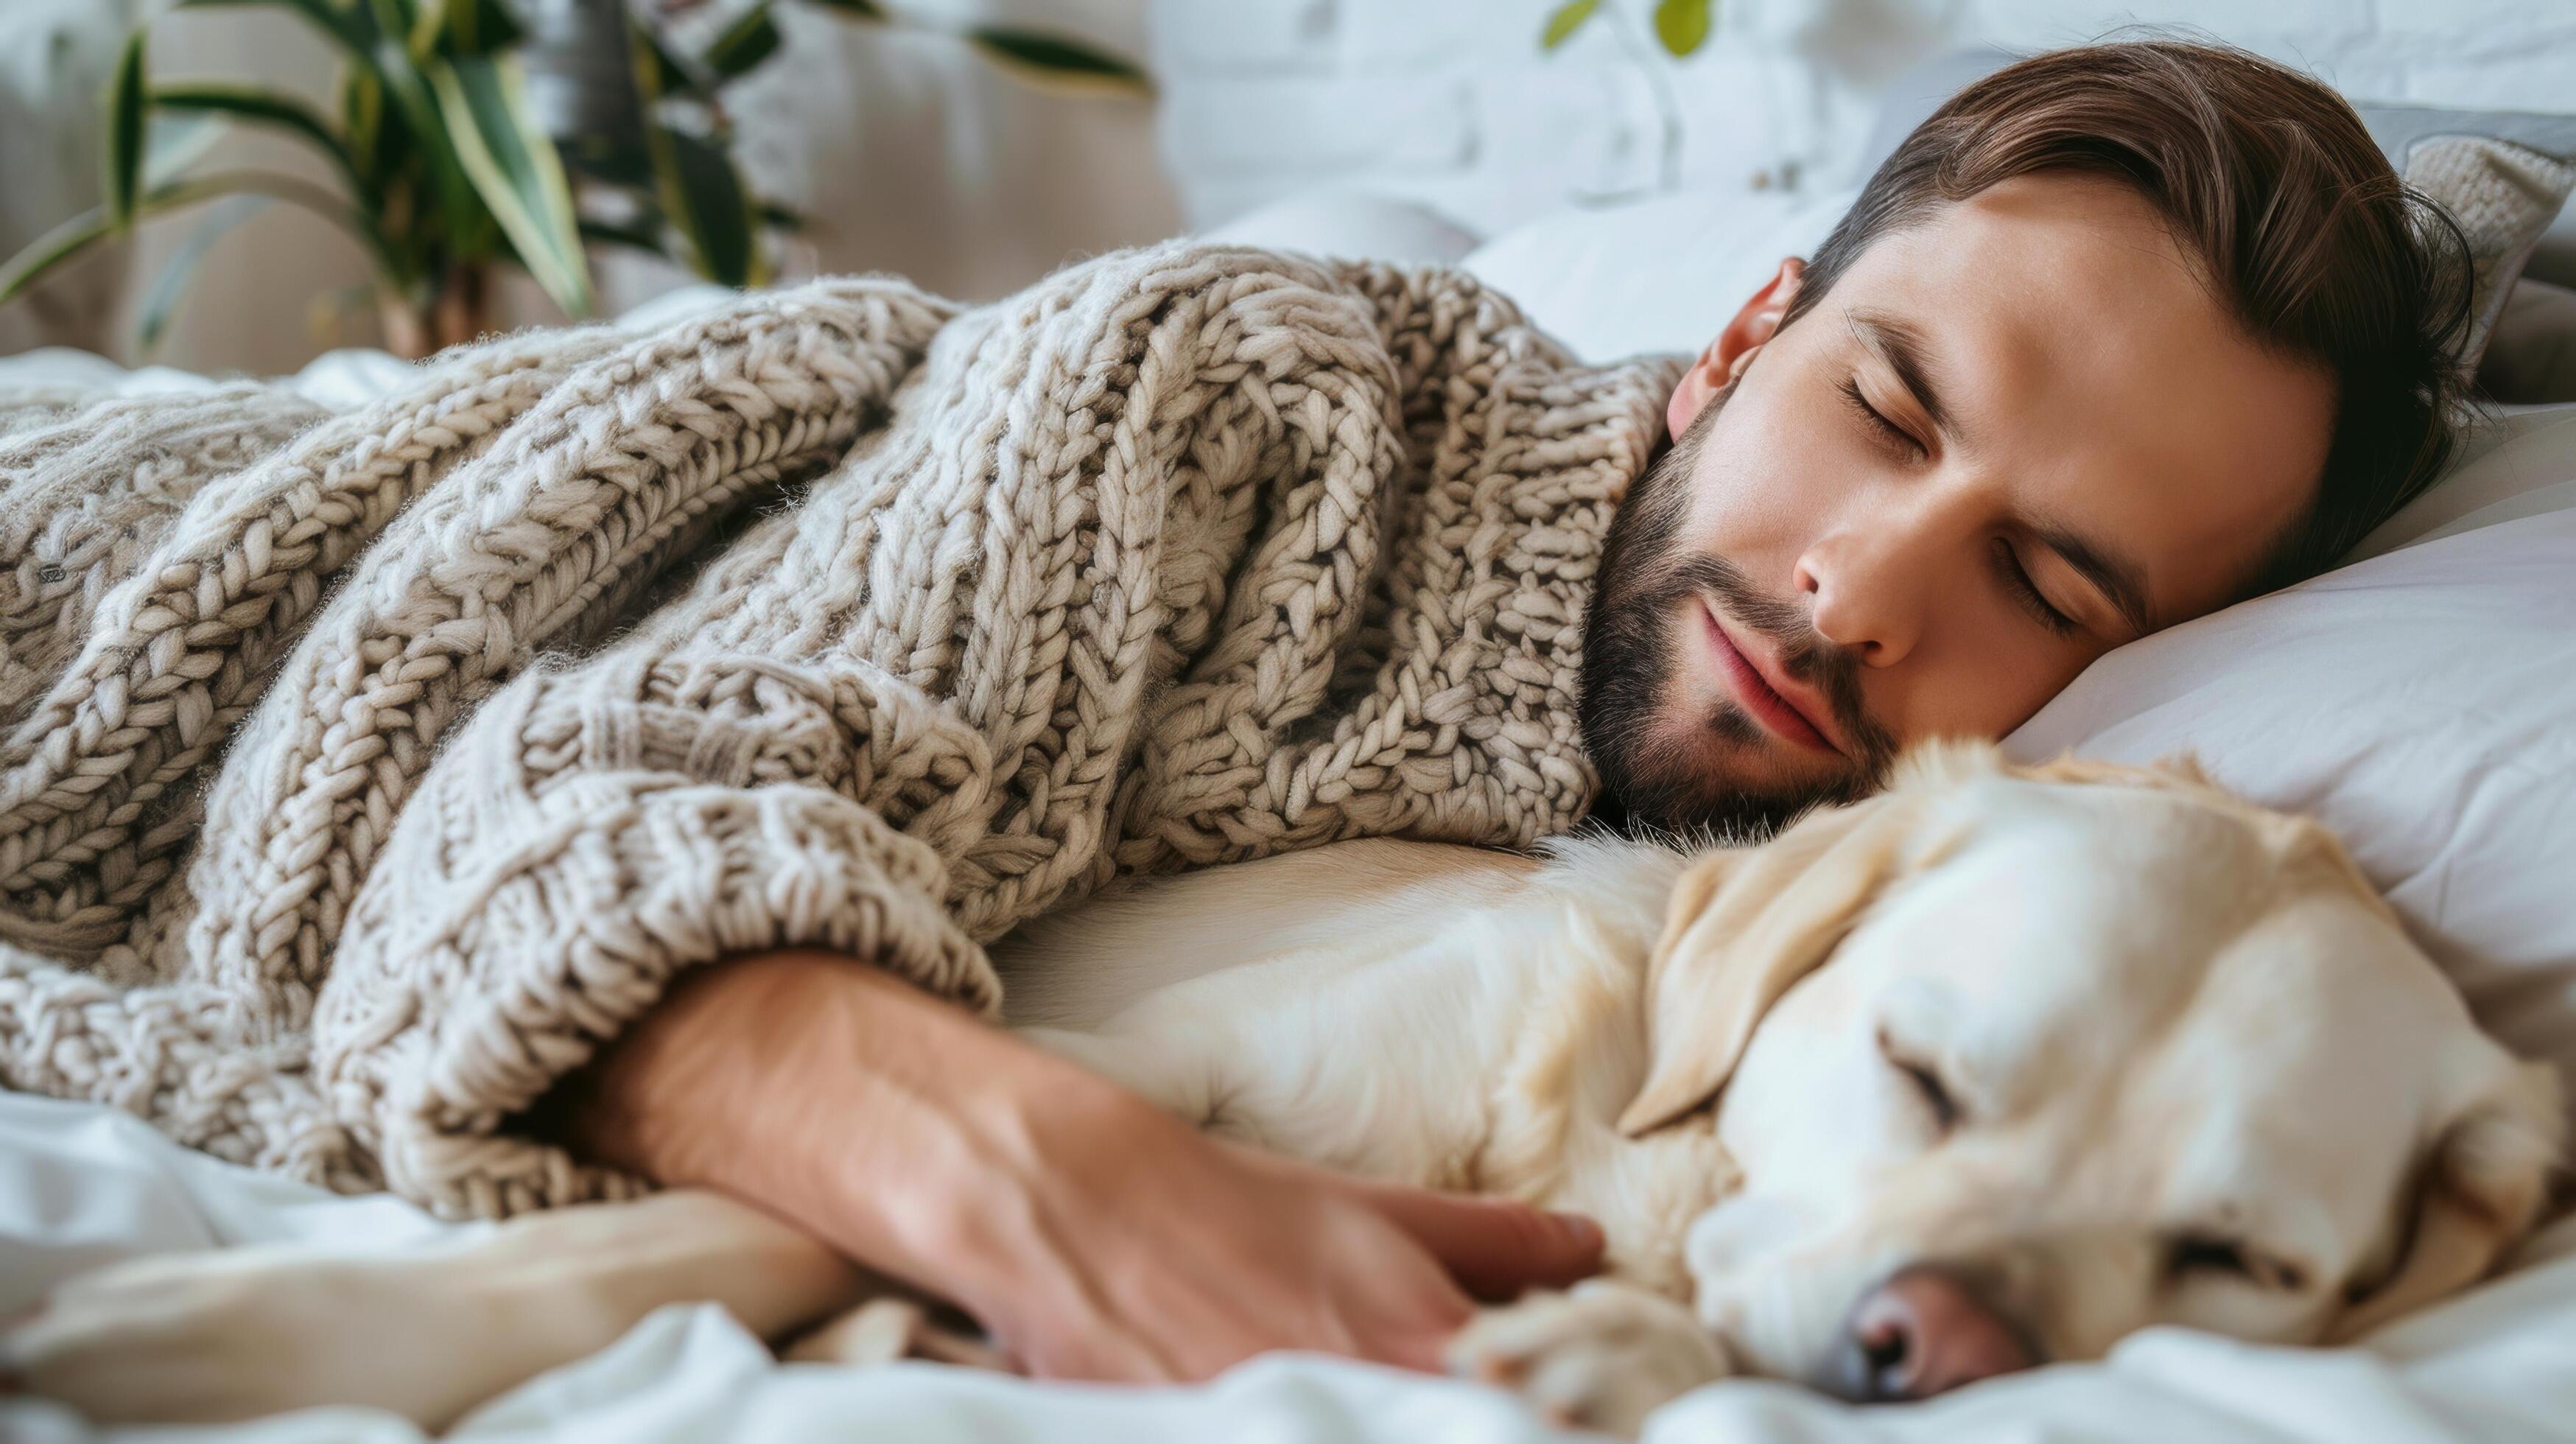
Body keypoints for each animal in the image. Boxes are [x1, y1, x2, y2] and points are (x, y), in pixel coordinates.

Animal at [10, 743, 2566, 1434]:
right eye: (1921, 1069)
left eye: (2234, 1259)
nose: (1922, 1351)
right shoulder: (1084, 1073)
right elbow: (732, 1217)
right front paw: (215, 1331)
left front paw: (1605, 1347)